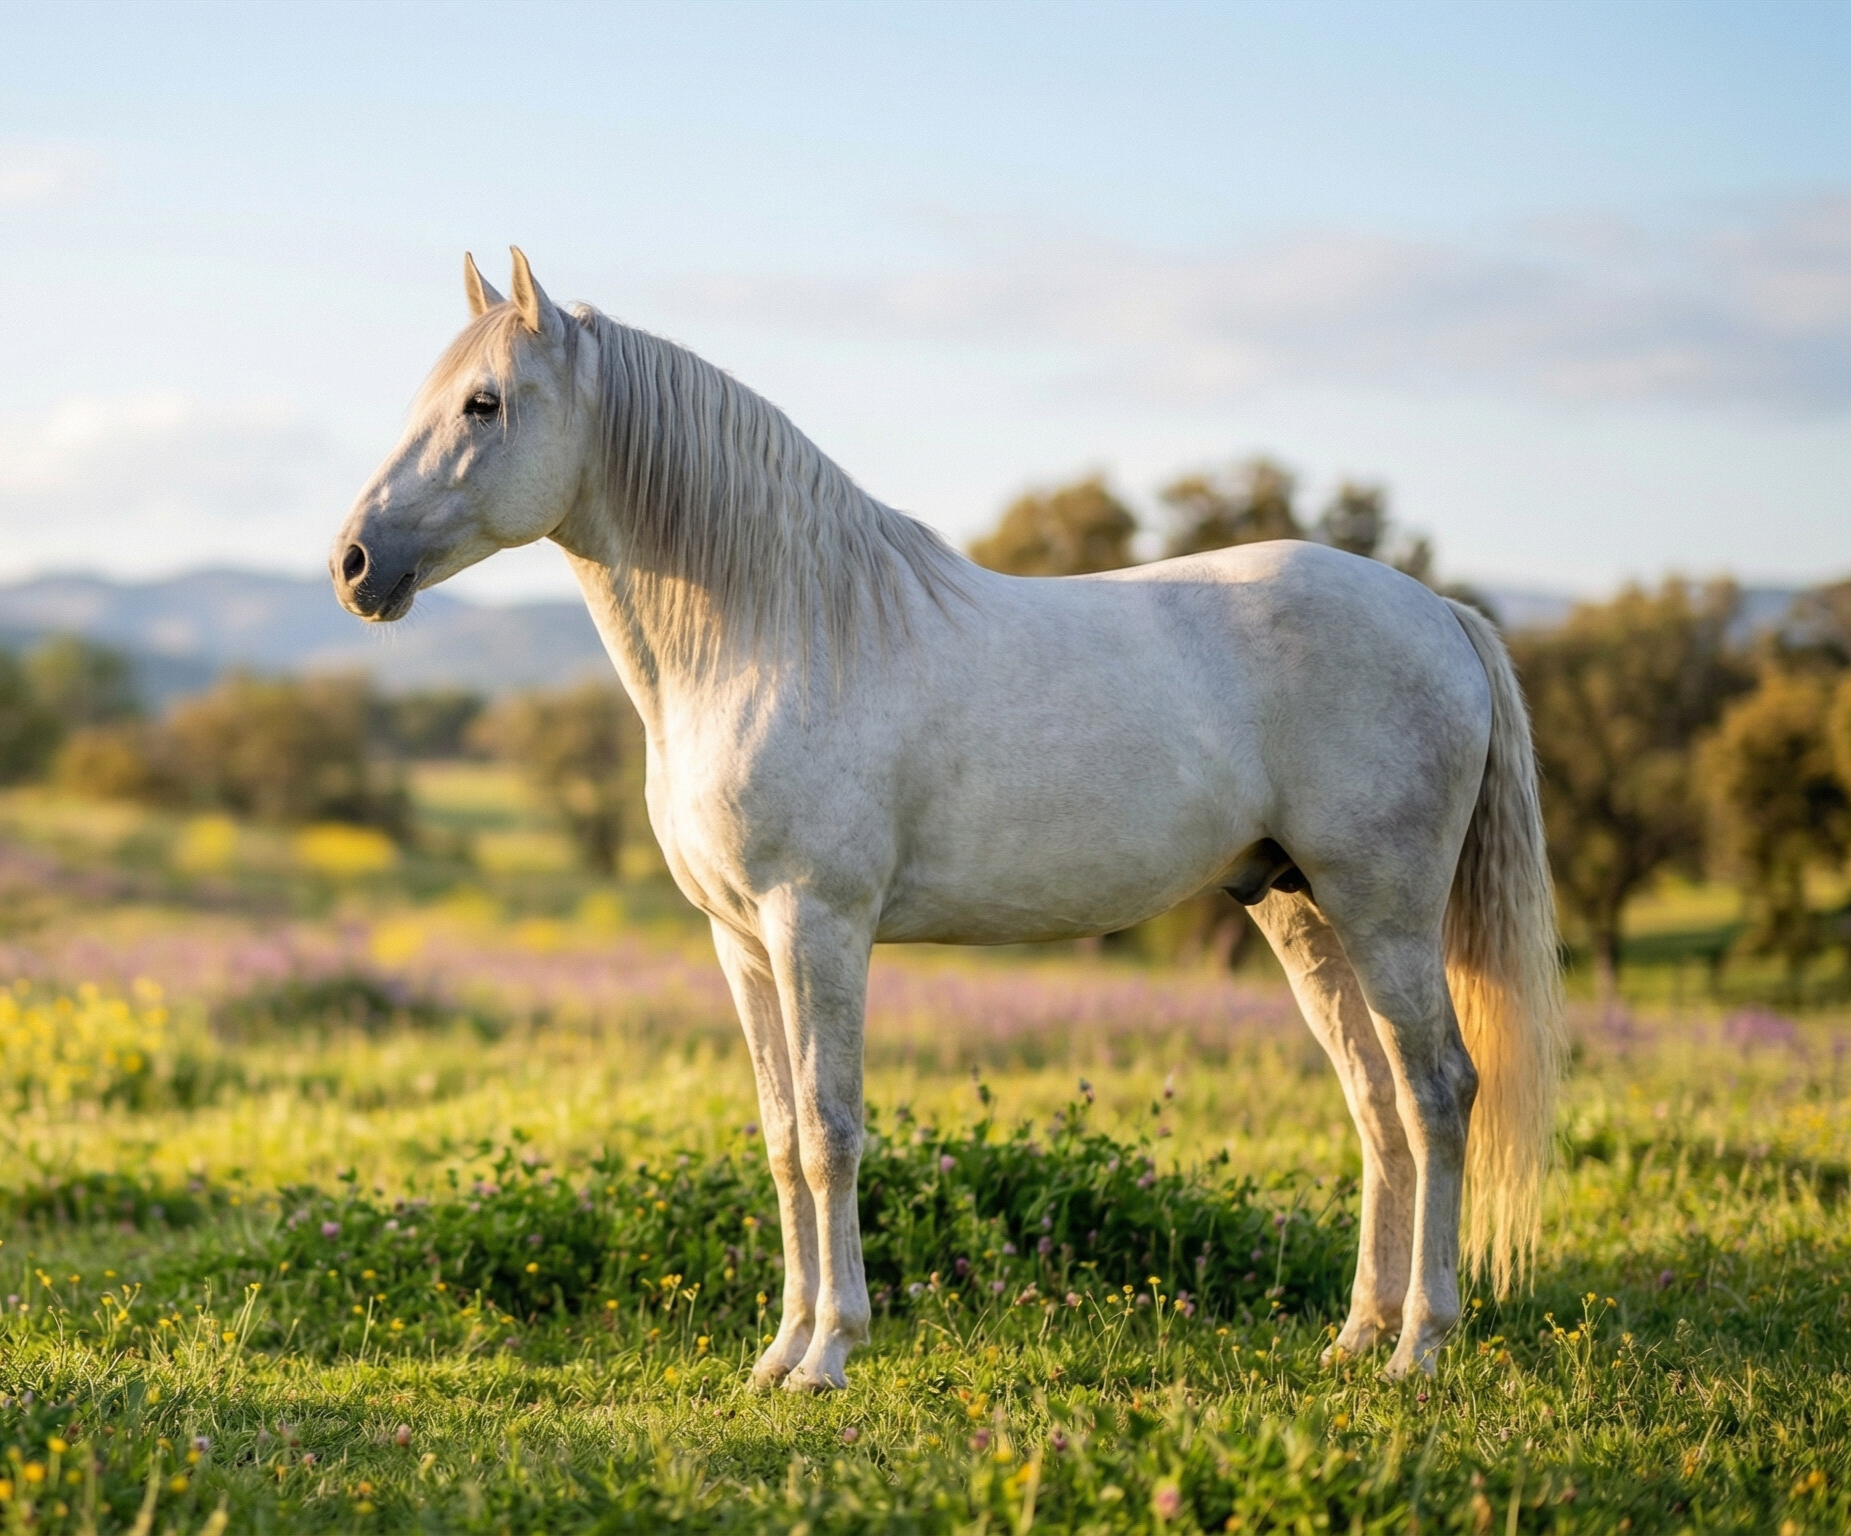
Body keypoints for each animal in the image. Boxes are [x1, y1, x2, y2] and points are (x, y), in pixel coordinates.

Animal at [331, 248, 1565, 1390]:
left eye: (484, 403)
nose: (354, 564)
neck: (779, 629)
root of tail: (1441, 611)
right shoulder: (741, 940)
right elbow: (780, 1138)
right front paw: (776, 1356)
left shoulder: (817, 924)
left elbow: (831, 1133)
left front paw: (829, 1353)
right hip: (1300, 910)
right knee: (1376, 1104)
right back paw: (1355, 1338)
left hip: (1384, 906)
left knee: (1437, 1092)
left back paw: (1419, 1347)